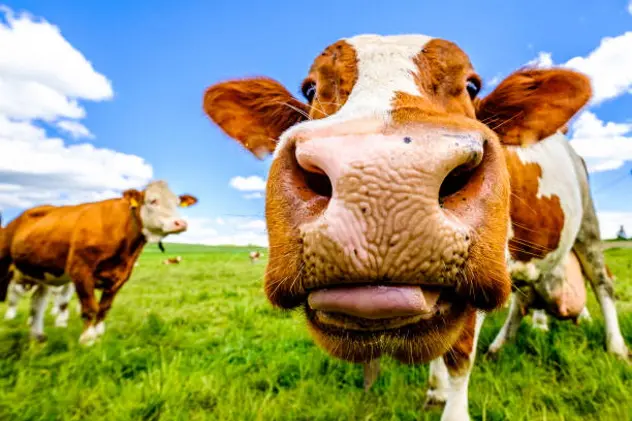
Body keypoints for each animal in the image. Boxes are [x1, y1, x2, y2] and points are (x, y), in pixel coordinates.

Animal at [0, 180, 198, 344]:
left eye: (176, 203)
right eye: (153, 201)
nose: (180, 223)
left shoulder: (121, 276)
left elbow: (104, 308)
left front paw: (97, 335)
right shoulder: (80, 271)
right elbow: (90, 308)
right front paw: (87, 339)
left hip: (42, 274)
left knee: (37, 303)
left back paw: (38, 336)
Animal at [201, 34, 628, 418]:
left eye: (471, 85)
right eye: (310, 90)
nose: (380, 176)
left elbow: (459, 356)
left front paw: (451, 405)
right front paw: (435, 389)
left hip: (589, 225)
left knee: (602, 282)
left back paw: (617, 348)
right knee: (524, 299)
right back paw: (501, 345)